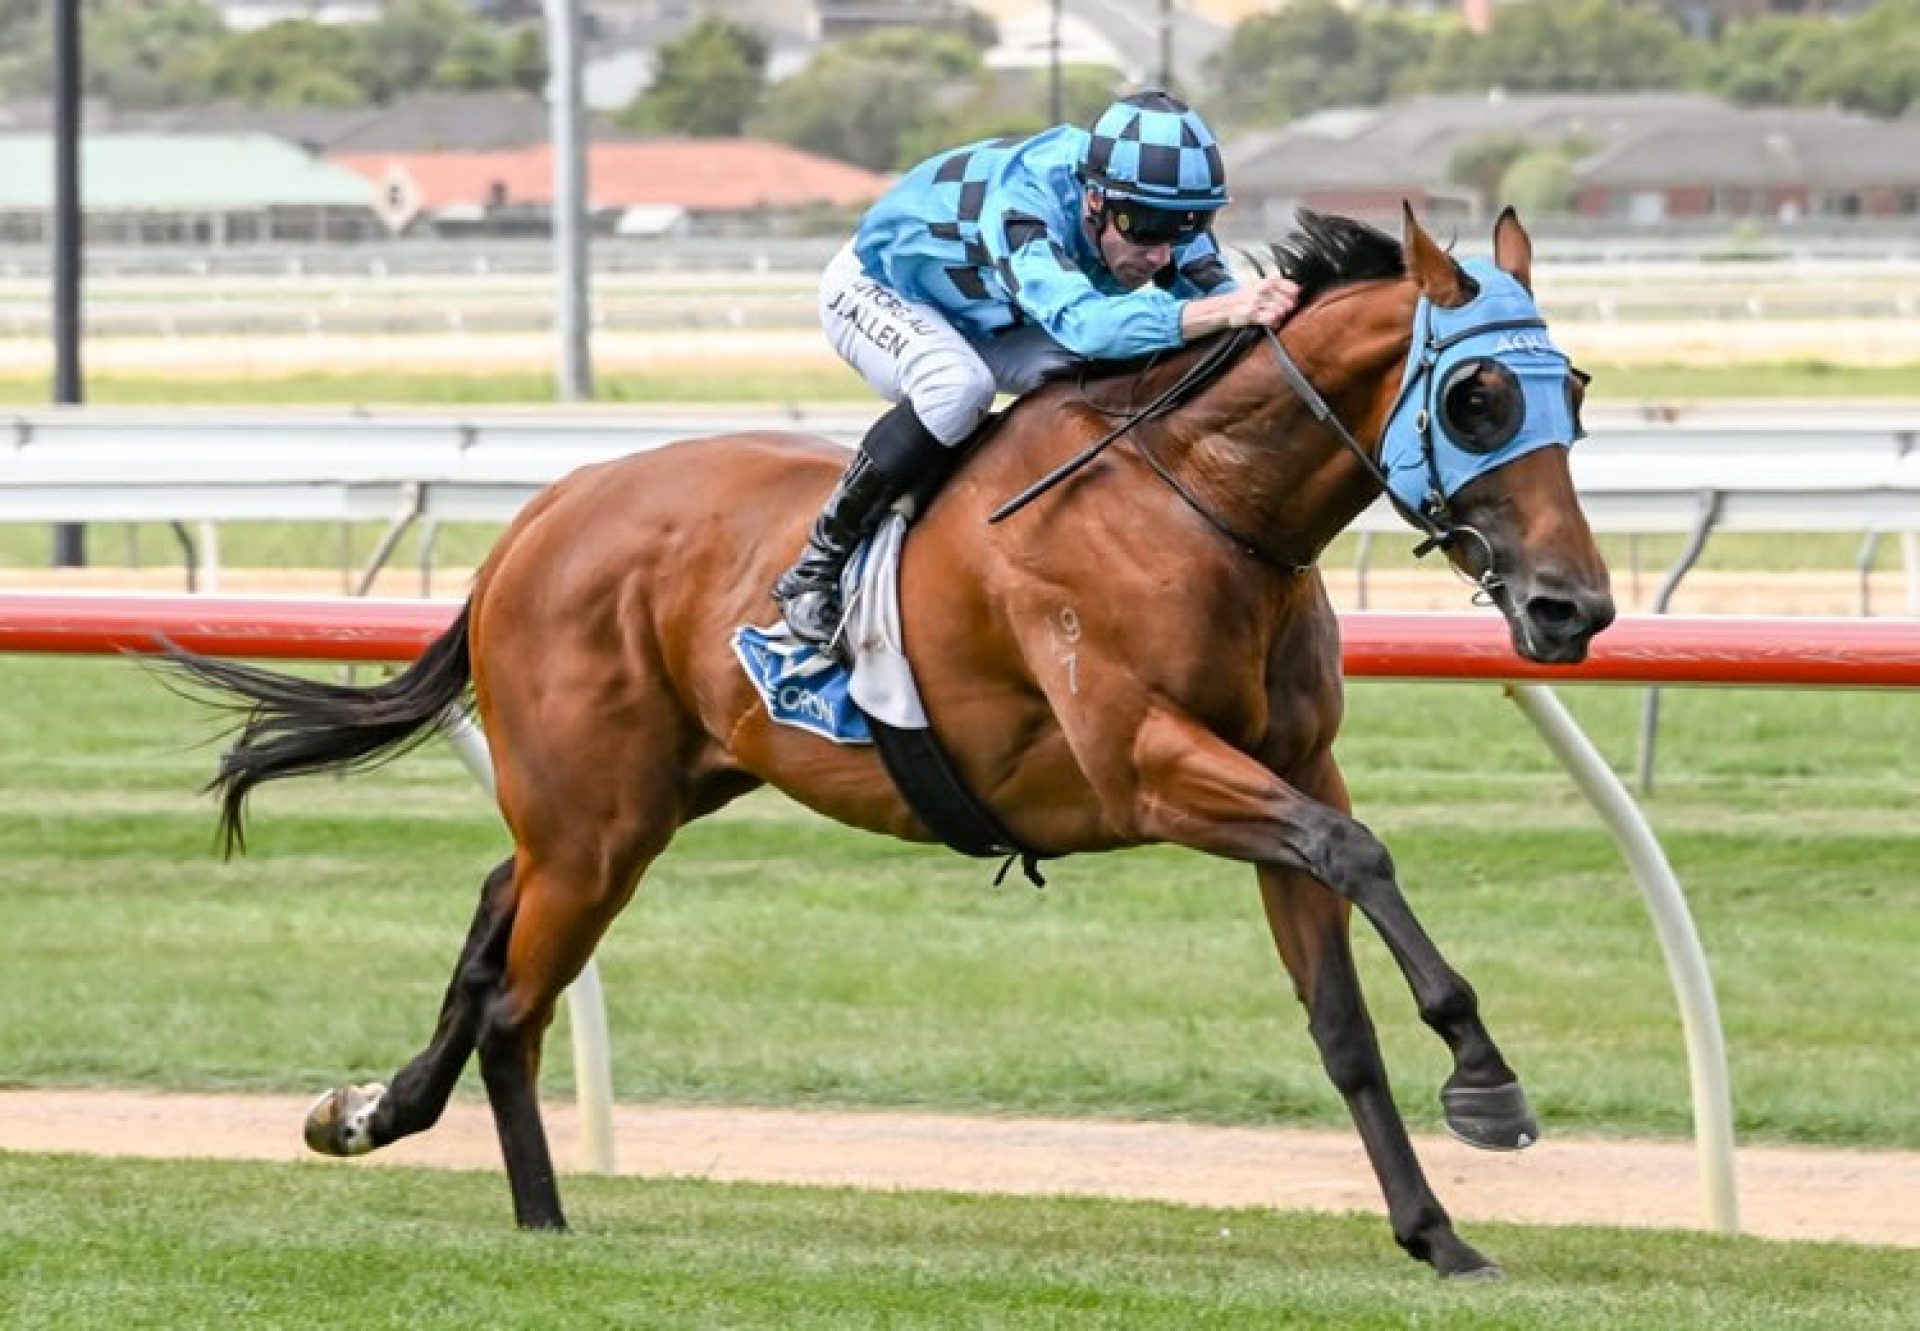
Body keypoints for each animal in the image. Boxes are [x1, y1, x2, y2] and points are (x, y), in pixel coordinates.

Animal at [165, 207, 1612, 1275]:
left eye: (1579, 393)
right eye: (1478, 396)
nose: (1573, 606)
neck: (1205, 502)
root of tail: (543, 510)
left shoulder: (1286, 765)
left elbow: (1339, 1014)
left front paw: (1437, 1232)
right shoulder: (1148, 764)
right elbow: (1358, 852)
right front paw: (1487, 1081)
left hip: (634, 799)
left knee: (491, 911)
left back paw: (376, 1110)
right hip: (599, 824)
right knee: (521, 999)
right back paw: (541, 1220)